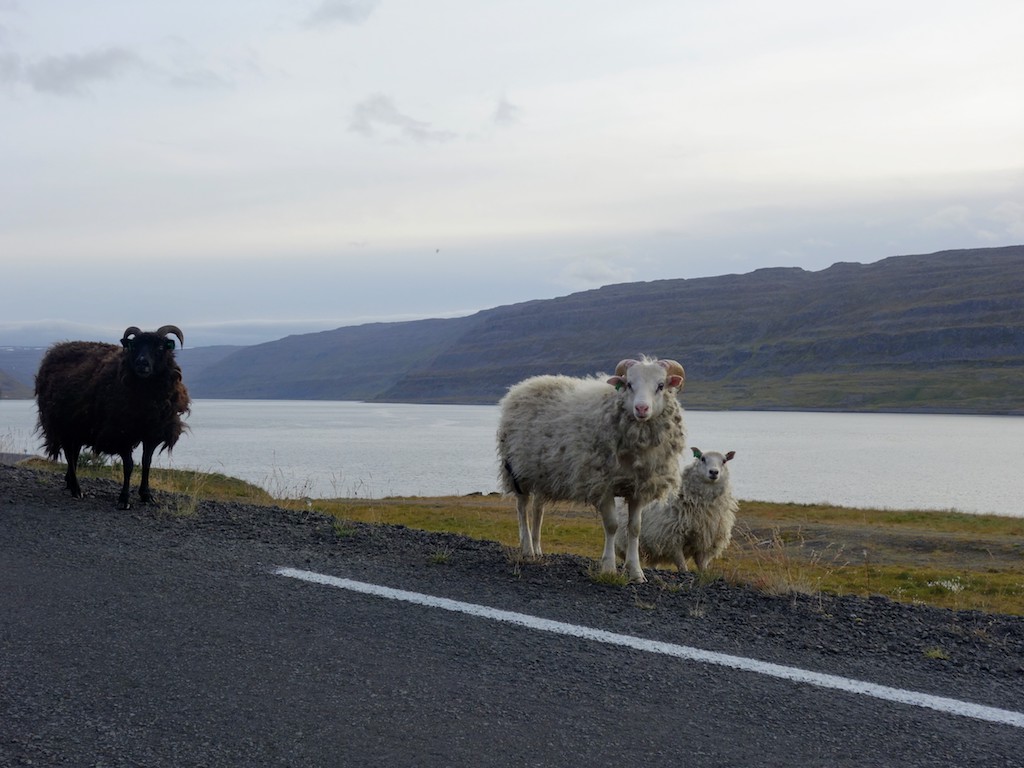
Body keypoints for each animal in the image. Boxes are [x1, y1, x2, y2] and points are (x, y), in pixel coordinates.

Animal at [35, 325, 192, 512]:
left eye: (160, 347)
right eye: (134, 346)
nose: (142, 363)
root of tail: (54, 350)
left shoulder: (152, 433)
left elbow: (146, 462)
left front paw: (146, 495)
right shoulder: (120, 432)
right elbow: (129, 466)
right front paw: (124, 499)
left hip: (77, 427)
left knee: (74, 454)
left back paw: (69, 483)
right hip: (62, 424)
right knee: (69, 454)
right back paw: (76, 489)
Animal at [497, 356, 688, 581]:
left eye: (660, 385)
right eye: (629, 384)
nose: (641, 409)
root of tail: (521, 386)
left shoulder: (638, 488)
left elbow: (634, 529)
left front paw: (636, 571)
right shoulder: (601, 483)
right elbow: (612, 525)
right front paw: (609, 567)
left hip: (542, 474)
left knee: (538, 510)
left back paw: (537, 549)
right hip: (518, 471)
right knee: (522, 508)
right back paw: (527, 549)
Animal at [614, 444, 737, 573]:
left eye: (724, 461)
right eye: (702, 458)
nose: (714, 472)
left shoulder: (705, 542)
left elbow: (702, 565)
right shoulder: (672, 540)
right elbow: (682, 566)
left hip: (653, 548)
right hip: (624, 541)